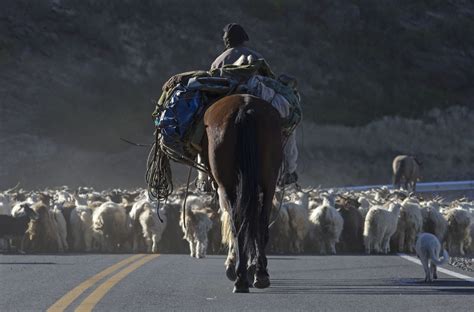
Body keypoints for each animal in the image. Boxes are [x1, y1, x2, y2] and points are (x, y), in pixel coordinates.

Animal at [199, 93, 284, 292]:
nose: (202, 184)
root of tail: (244, 109)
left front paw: (235, 265)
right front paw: (253, 267)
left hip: (226, 184)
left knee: (238, 222)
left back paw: (241, 277)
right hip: (269, 179)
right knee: (257, 222)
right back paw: (258, 274)